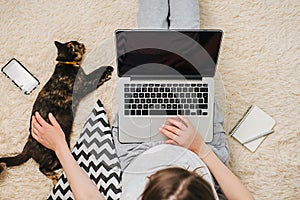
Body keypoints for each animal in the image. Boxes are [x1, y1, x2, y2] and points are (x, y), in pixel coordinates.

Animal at [0, 39, 112, 182]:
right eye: (76, 45)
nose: (81, 43)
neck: (67, 63)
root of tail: (27, 147)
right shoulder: (83, 83)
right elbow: (95, 75)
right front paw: (108, 70)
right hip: (52, 155)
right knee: (42, 168)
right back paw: (54, 177)